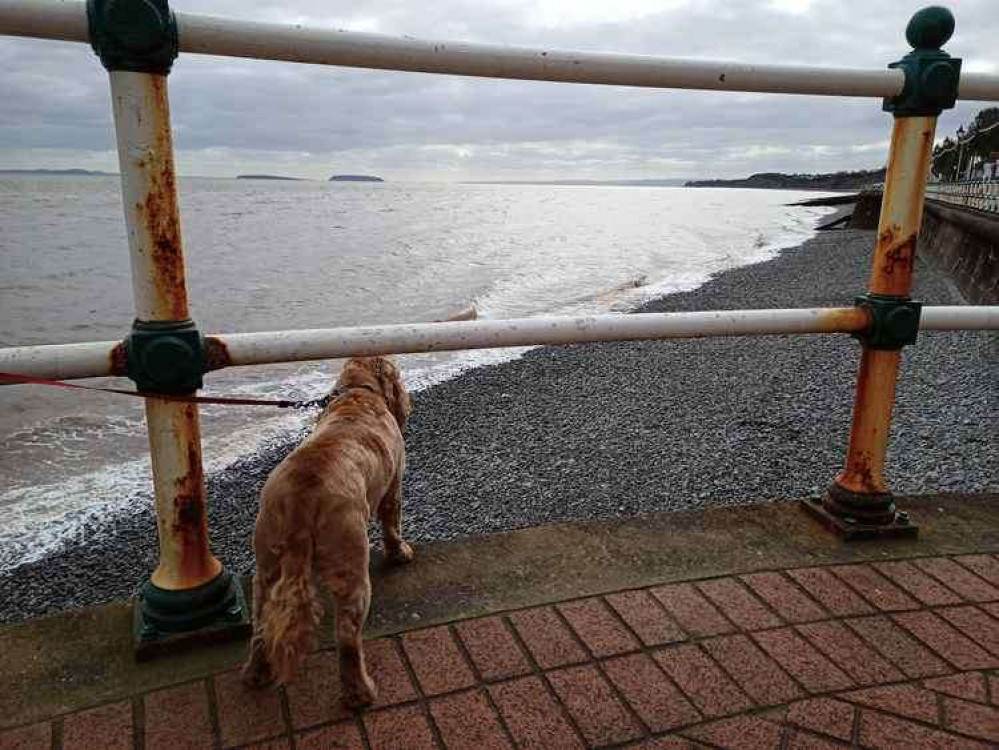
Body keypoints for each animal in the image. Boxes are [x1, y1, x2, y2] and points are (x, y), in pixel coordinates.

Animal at [242, 358, 414, 712]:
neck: (358, 392)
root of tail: (300, 501)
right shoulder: (394, 484)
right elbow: (392, 521)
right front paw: (400, 553)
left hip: (266, 560)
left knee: (261, 625)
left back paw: (256, 674)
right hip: (349, 559)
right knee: (347, 637)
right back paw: (360, 693)